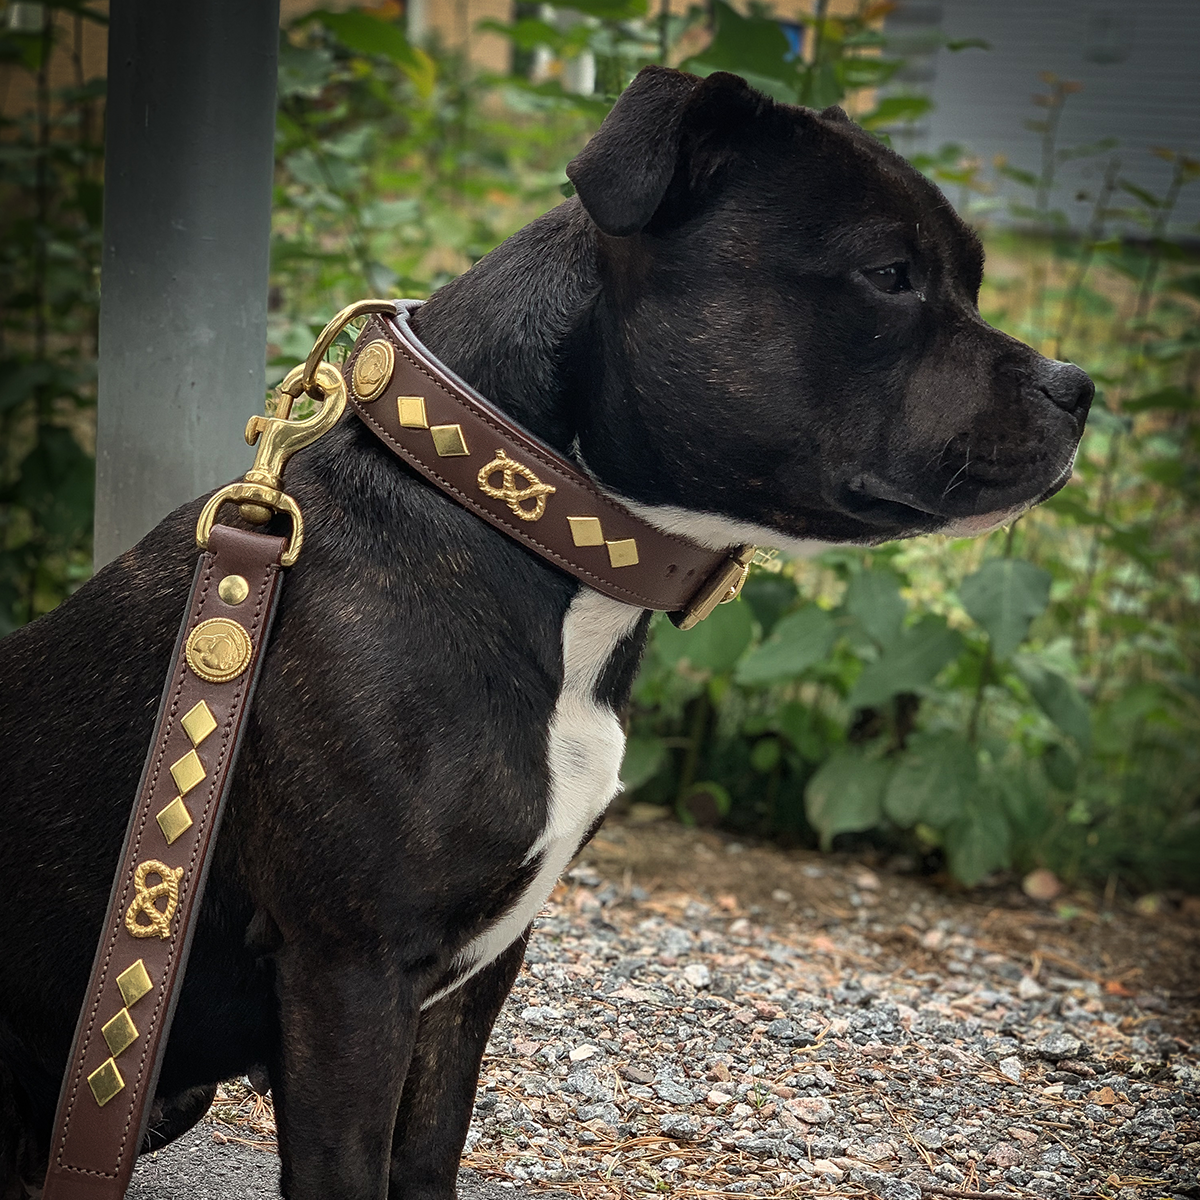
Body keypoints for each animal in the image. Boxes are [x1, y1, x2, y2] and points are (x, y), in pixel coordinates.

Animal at [0, 68, 1089, 1200]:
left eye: (968, 280)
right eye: (888, 275)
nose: (1077, 386)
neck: (521, 522)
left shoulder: (459, 993)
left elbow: (427, 1156)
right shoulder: (350, 974)